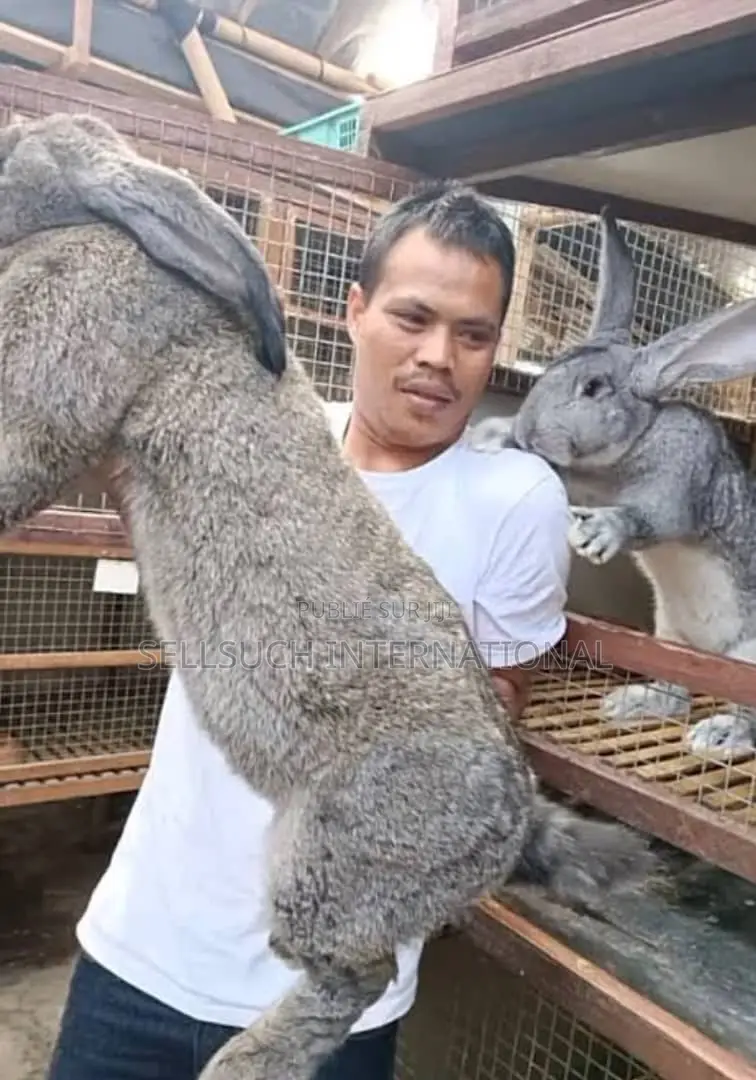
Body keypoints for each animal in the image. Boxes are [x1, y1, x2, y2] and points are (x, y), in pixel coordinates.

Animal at [470, 205, 756, 759]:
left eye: (593, 387)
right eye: (550, 368)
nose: (527, 430)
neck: (632, 445)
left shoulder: (680, 484)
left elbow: (648, 517)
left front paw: (597, 534)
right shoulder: (578, 480)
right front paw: (490, 434)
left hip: (747, 661)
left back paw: (719, 736)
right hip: (671, 635)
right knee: (676, 692)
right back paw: (631, 703)